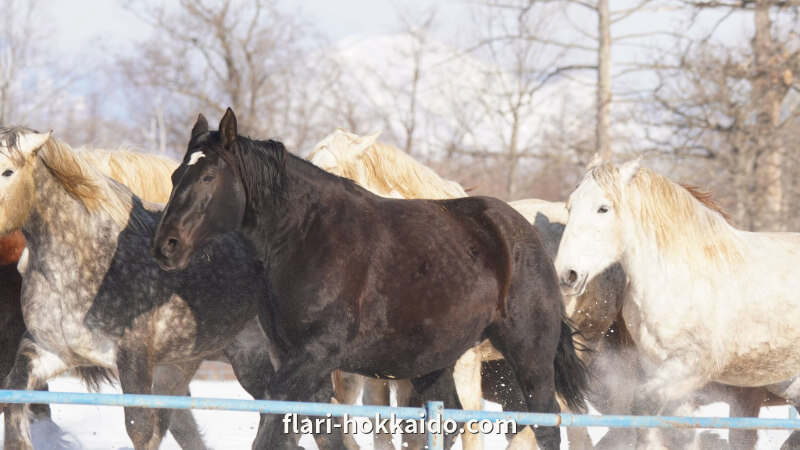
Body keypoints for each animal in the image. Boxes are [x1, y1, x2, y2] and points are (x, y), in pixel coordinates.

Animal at [150, 110, 588, 450]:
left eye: (208, 177)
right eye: (175, 176)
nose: (166, 245)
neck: (305, 236)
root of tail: (523, 232)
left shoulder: (314, 356)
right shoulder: (300, 362)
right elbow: (321, 432)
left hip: (529, 357)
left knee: (546, 423)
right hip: (435, 364)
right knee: (448, 419)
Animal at [552, 156, 800, 450]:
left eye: (604, 208)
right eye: (569, 206)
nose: (567, 275)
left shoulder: (694, 365)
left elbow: (648, 410)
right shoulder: (658, 365)